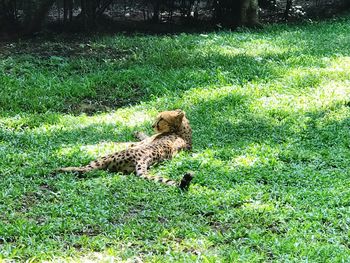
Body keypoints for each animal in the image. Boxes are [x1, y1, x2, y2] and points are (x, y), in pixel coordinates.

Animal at [57, 109, 194, 190]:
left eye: (161, 119)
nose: (152, 125)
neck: (182, 130)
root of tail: (142, 159)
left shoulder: (136, 144)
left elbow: (118, 142)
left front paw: (85, 146)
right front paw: (138, 132)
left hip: (104, 158)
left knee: (86, 169)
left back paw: (61, 169)